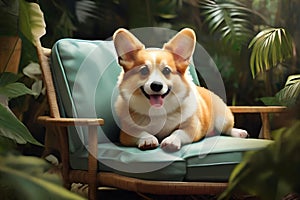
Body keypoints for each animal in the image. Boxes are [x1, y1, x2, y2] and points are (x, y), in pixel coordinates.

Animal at [111, 27, 247, 151]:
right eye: (144, 70)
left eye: (166, 70)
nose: (156, 85)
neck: (158, 112)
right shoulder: (126, 133)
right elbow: (139, 132)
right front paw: (148, 139)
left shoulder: (192, 127)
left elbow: (178, 132)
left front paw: (171, 140)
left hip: (222, 119)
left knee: (227, 129)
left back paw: (239, 132)